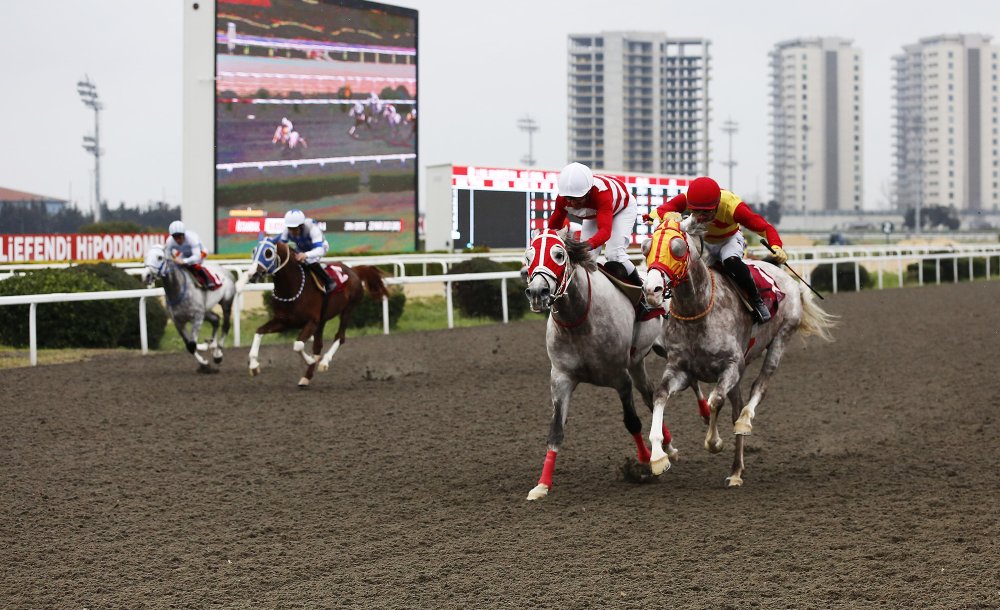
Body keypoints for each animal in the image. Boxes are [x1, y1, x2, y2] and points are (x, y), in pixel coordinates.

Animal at [244, 236, 388, 384]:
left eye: (268, 253)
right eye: (254, 251)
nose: (252, 274)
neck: (292, 287)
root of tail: (354, 270)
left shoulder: (312, 322)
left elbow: (298, 345)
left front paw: (311, 360)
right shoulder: (283, 322)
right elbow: (259, 331)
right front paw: (254, 366)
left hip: (348, 309)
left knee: (340, 337)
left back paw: (324, 362)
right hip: (323, 320)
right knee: (318, 345)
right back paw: (307, 377)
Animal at [520, 228, 708, 498]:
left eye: (558, 255)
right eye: (528, 257)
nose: (537, 293)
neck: (579, 318)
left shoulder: (620, 377)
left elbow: (632, 422)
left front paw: (644, 463)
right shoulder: (561, 379)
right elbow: (555, 431)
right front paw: (542, 485)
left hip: (670, 349)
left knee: (689, 380)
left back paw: (705, 412)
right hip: (638, 362)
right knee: (650, 395)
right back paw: (669, 446)